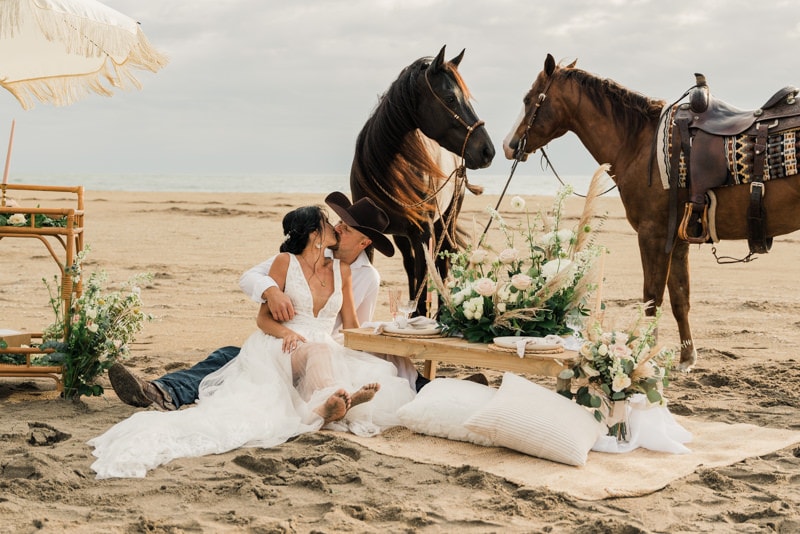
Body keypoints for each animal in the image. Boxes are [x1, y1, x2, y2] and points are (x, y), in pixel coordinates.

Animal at [350, 46, 494, 316]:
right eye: (450, 98)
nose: (487, 151)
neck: (387, 170)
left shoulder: (423, 234)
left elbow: (424, 285)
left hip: (446, 222)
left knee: (442, 264)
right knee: (411, 266)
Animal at [504, 55, 800, 372]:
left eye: (529, 99)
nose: (509, 145)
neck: (637, 143)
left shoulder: (652, 234)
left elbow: (651, 298)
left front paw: (642, 354)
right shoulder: (678, 239)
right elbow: (680, 299)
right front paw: (686, 358)